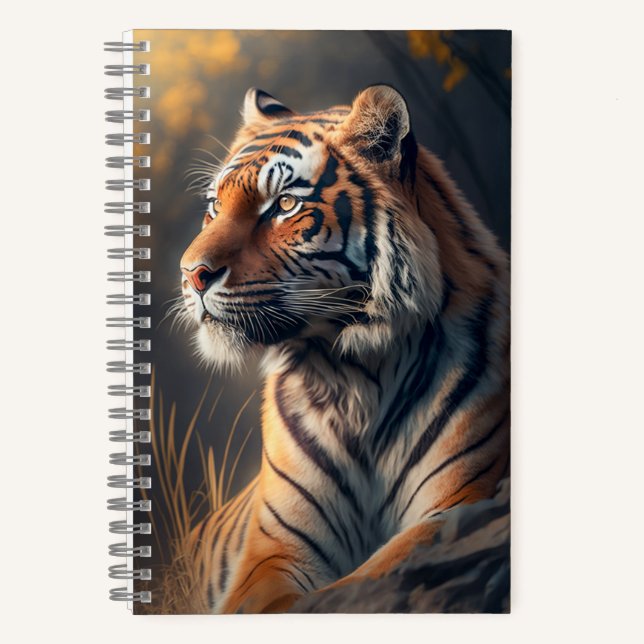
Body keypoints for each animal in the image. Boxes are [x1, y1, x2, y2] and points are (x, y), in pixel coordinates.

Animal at [178, 85, 510, 614]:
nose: (191, 274)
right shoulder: (273, 549)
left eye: (285, 204)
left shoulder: (456, 505)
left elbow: (354, 587)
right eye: (214, 206)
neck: (352, 371)